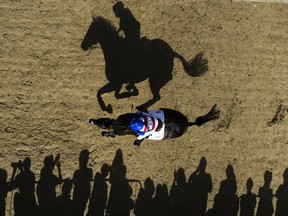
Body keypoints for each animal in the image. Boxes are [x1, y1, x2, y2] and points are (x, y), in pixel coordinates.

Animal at [81, 16, 209, 114]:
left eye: (91, 31)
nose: (82, 46)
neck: (116, 52)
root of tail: (171, 52)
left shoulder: (115, 82)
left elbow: (104, 94)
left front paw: (108, 108)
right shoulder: (118, 83)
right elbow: (107, 93)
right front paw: (127, 93)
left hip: (153, 78)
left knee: (158, 95)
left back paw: (142, 107)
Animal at [89, 104, 219, 142]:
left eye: (101, 123)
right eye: (101, 120)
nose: (91, 120)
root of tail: (188, 124)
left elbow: (111, 134)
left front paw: (105, 134)